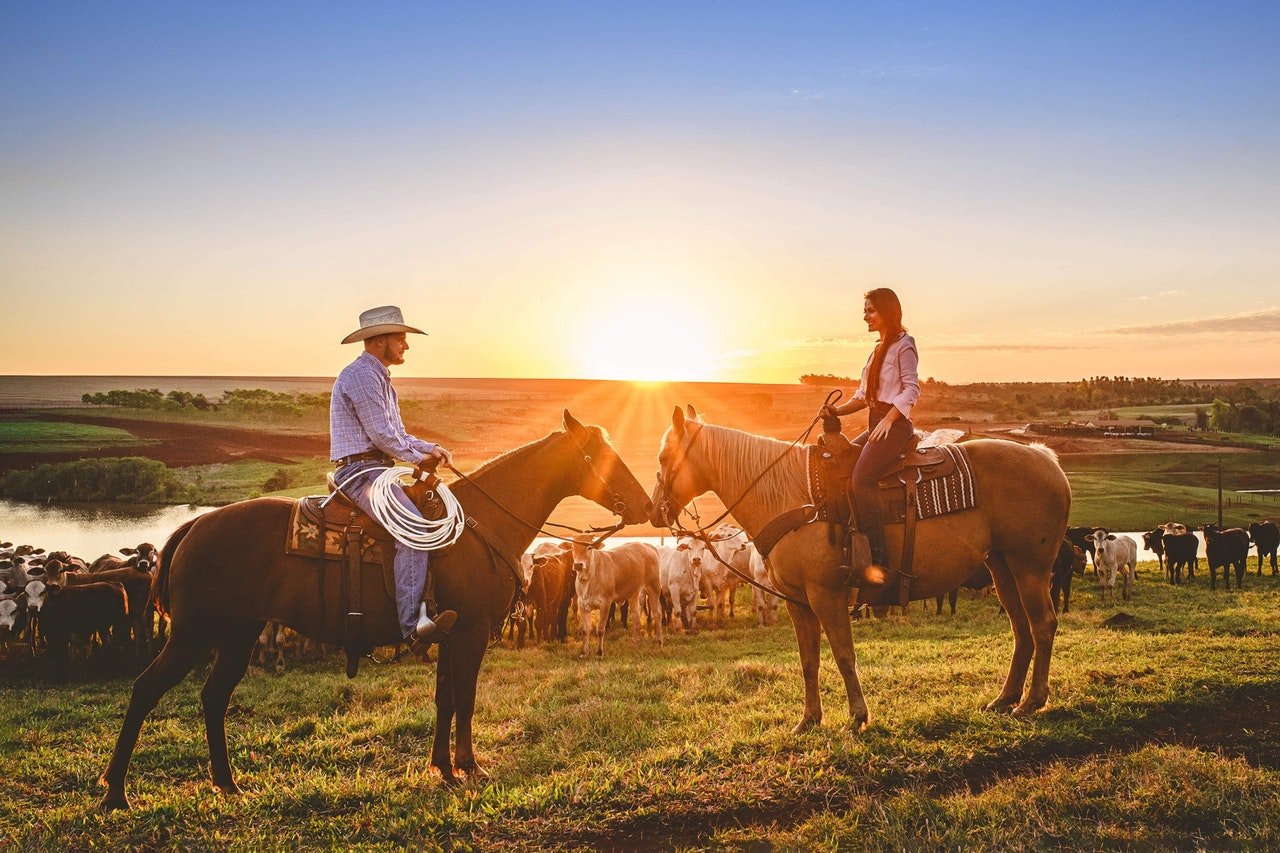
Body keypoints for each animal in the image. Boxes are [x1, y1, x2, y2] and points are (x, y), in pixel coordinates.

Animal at [102, 409, 650, 809]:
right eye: (598, 454)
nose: (646, 505)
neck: (480, 525)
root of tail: (194, 527)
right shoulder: (470, 632)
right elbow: (466, 698)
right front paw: (471, 768)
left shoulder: (448, 634)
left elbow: (446, 699)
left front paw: (444, 769)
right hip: (193, 634)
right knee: (146, 689)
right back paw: (115, 793)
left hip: (237, 634)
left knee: (214, 698)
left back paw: (227, 783)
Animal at [650, 404, 1070, 732]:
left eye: (662, 459)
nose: (655, 513)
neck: (793, 497)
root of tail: (1046, 458)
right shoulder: (797, 601)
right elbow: (808, 660)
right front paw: (808, 720)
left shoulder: (827, 595)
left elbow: (843, 654)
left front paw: (856, 717)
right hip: (1002, 567)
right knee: (1021, 628)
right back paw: (1005, 698)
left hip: (1030, 568)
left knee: (1042, 625)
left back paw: (1031, 702)